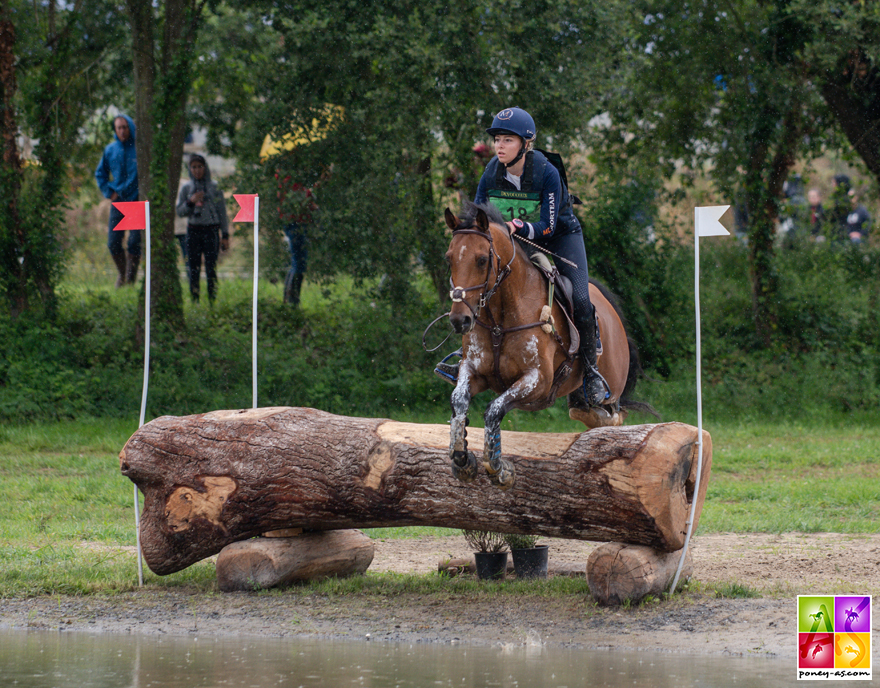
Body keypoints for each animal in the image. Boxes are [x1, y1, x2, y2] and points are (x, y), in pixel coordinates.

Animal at [444, 202, 648, 492]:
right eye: (449, 259)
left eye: (482, 260)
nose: (459, 320)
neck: (499, 320)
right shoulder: (473, 370)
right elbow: (459, 400)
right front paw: (462, 460)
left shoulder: (537, 380)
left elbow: (494, 409)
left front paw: (499, 469)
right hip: (579, 397)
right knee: (585, 412)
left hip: (612, 386)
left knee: (615, 415)